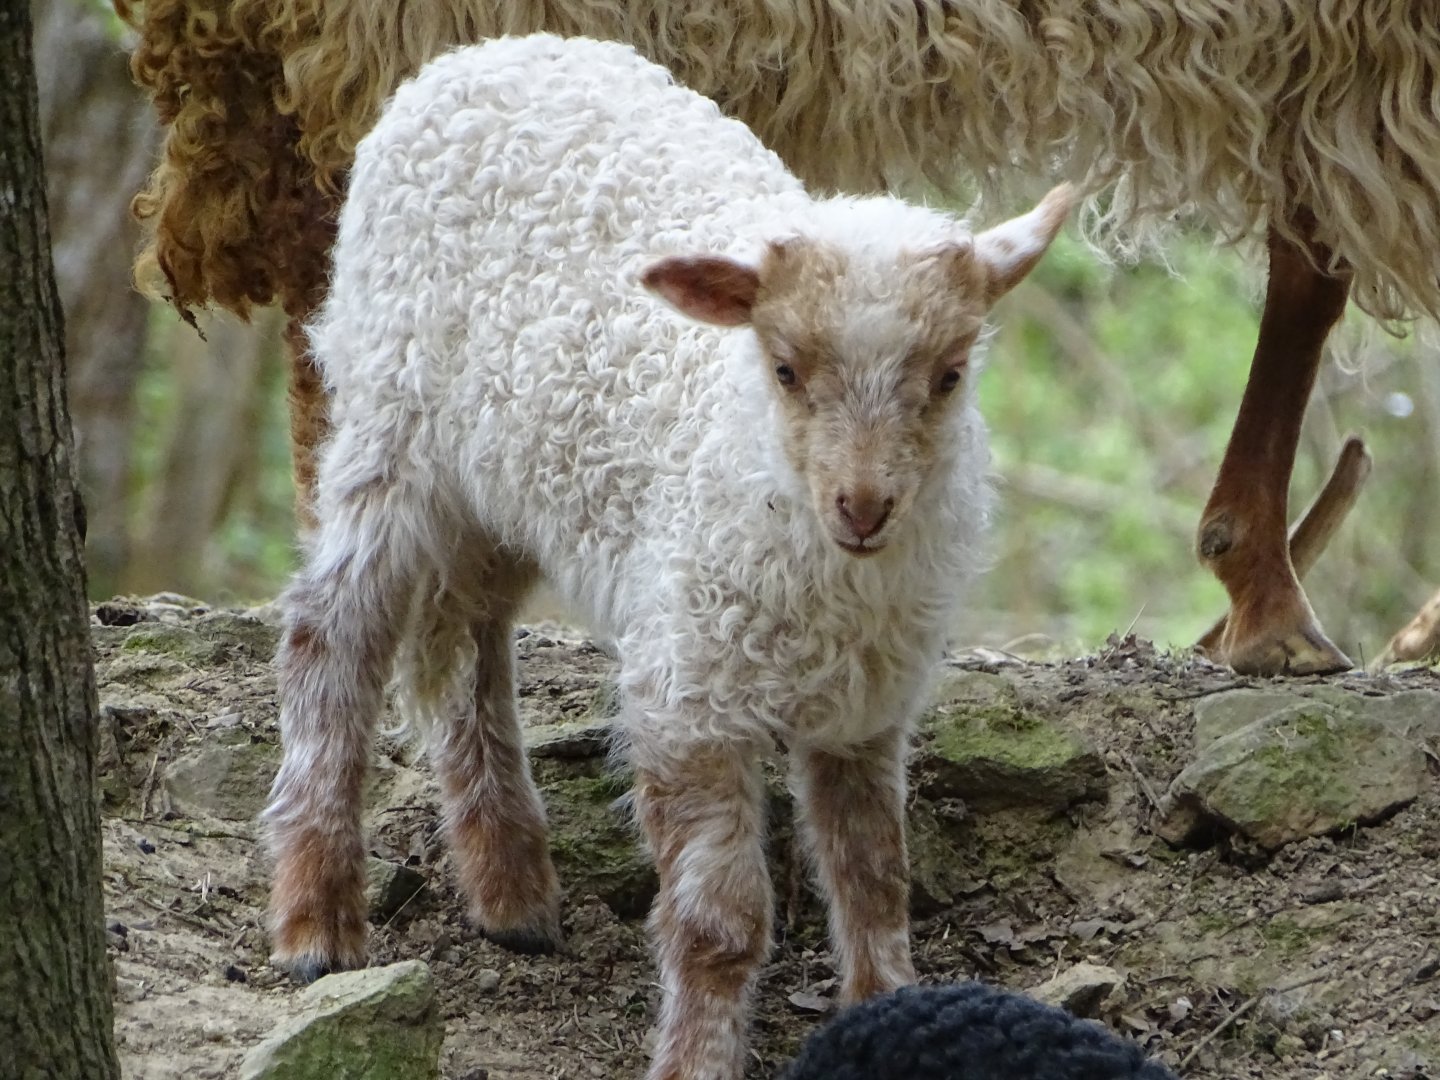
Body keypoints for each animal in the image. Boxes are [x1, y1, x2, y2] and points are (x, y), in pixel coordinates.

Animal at [259, 32, 1071, 1080]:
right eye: (785, 369)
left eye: (950, 375)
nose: (862, 506)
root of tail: (487, 50)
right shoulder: (691, 692)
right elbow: (720, 922)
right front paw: (696, 1058)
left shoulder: (867, 702)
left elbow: (872, 875)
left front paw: (883, 1006)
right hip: (391, 414)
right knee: (334, 628)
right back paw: (317, 923)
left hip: (512, 476)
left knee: (466, 631)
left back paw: (510, 889)